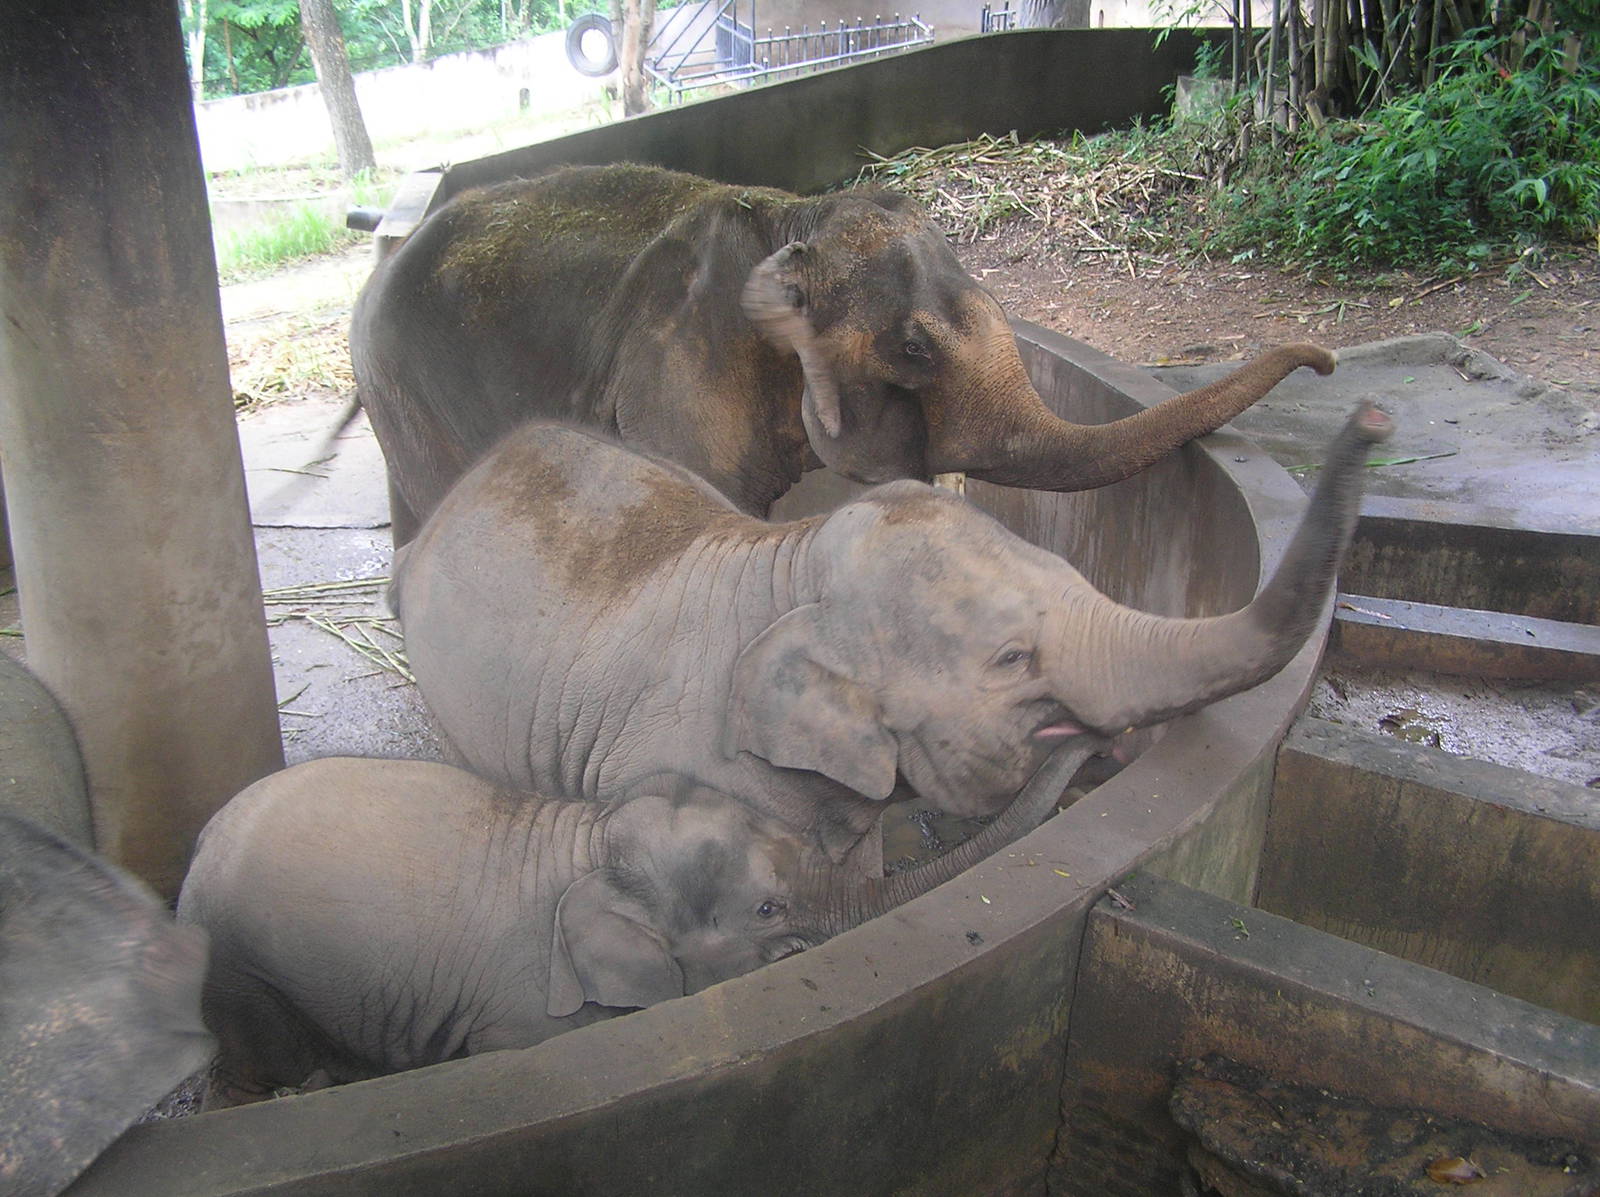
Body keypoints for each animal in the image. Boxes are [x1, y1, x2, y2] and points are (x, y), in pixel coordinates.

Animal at [175, 744, 1098, 1103]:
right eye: (767, 908)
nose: (1099, 743)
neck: (588, 839)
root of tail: (196, 850)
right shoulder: (523, 1016)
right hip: (243, 969)